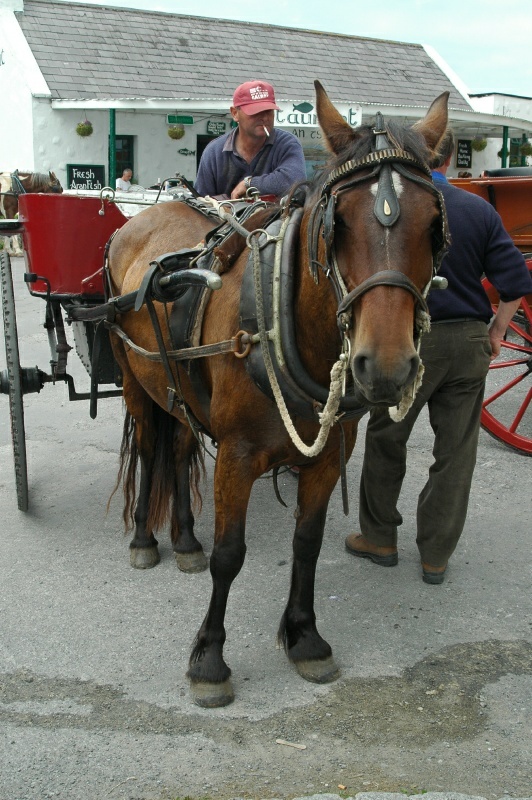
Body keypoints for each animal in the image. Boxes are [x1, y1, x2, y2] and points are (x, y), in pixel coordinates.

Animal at [107, 83, 448, 708]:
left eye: (435, 223)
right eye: (338, 223)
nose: (386, 366)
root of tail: (141, 219)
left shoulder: (328, 455)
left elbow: (307, 543)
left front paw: (305, 637)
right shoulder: (238, 455)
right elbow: (229, 554)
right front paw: (209, 659)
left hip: (178, 389)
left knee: (179, 450)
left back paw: (184, 538)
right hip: (134, 379)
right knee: (148, 449)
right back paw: (146, 537)